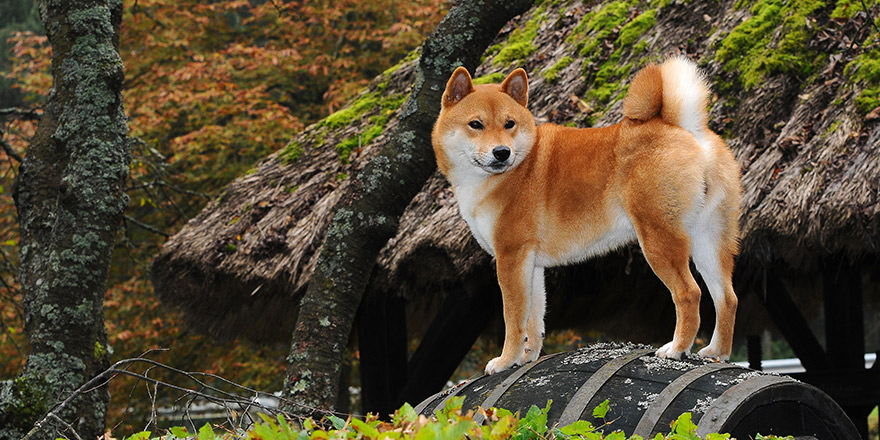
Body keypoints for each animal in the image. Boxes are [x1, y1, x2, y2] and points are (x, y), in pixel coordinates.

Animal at [434, 57, 744, 374]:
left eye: (509, 124)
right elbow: (533, 319)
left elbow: (514, 319)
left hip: (659, 240)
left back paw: (677, 348)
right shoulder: (530, 264)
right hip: (708, 240)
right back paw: (717, 352)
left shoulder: (511, 257)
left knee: (689, 293)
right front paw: (526, 358)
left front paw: (506, 360)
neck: (515, 168)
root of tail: (685, 131)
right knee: (727, 297)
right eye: (476, 124)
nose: (501, 152)